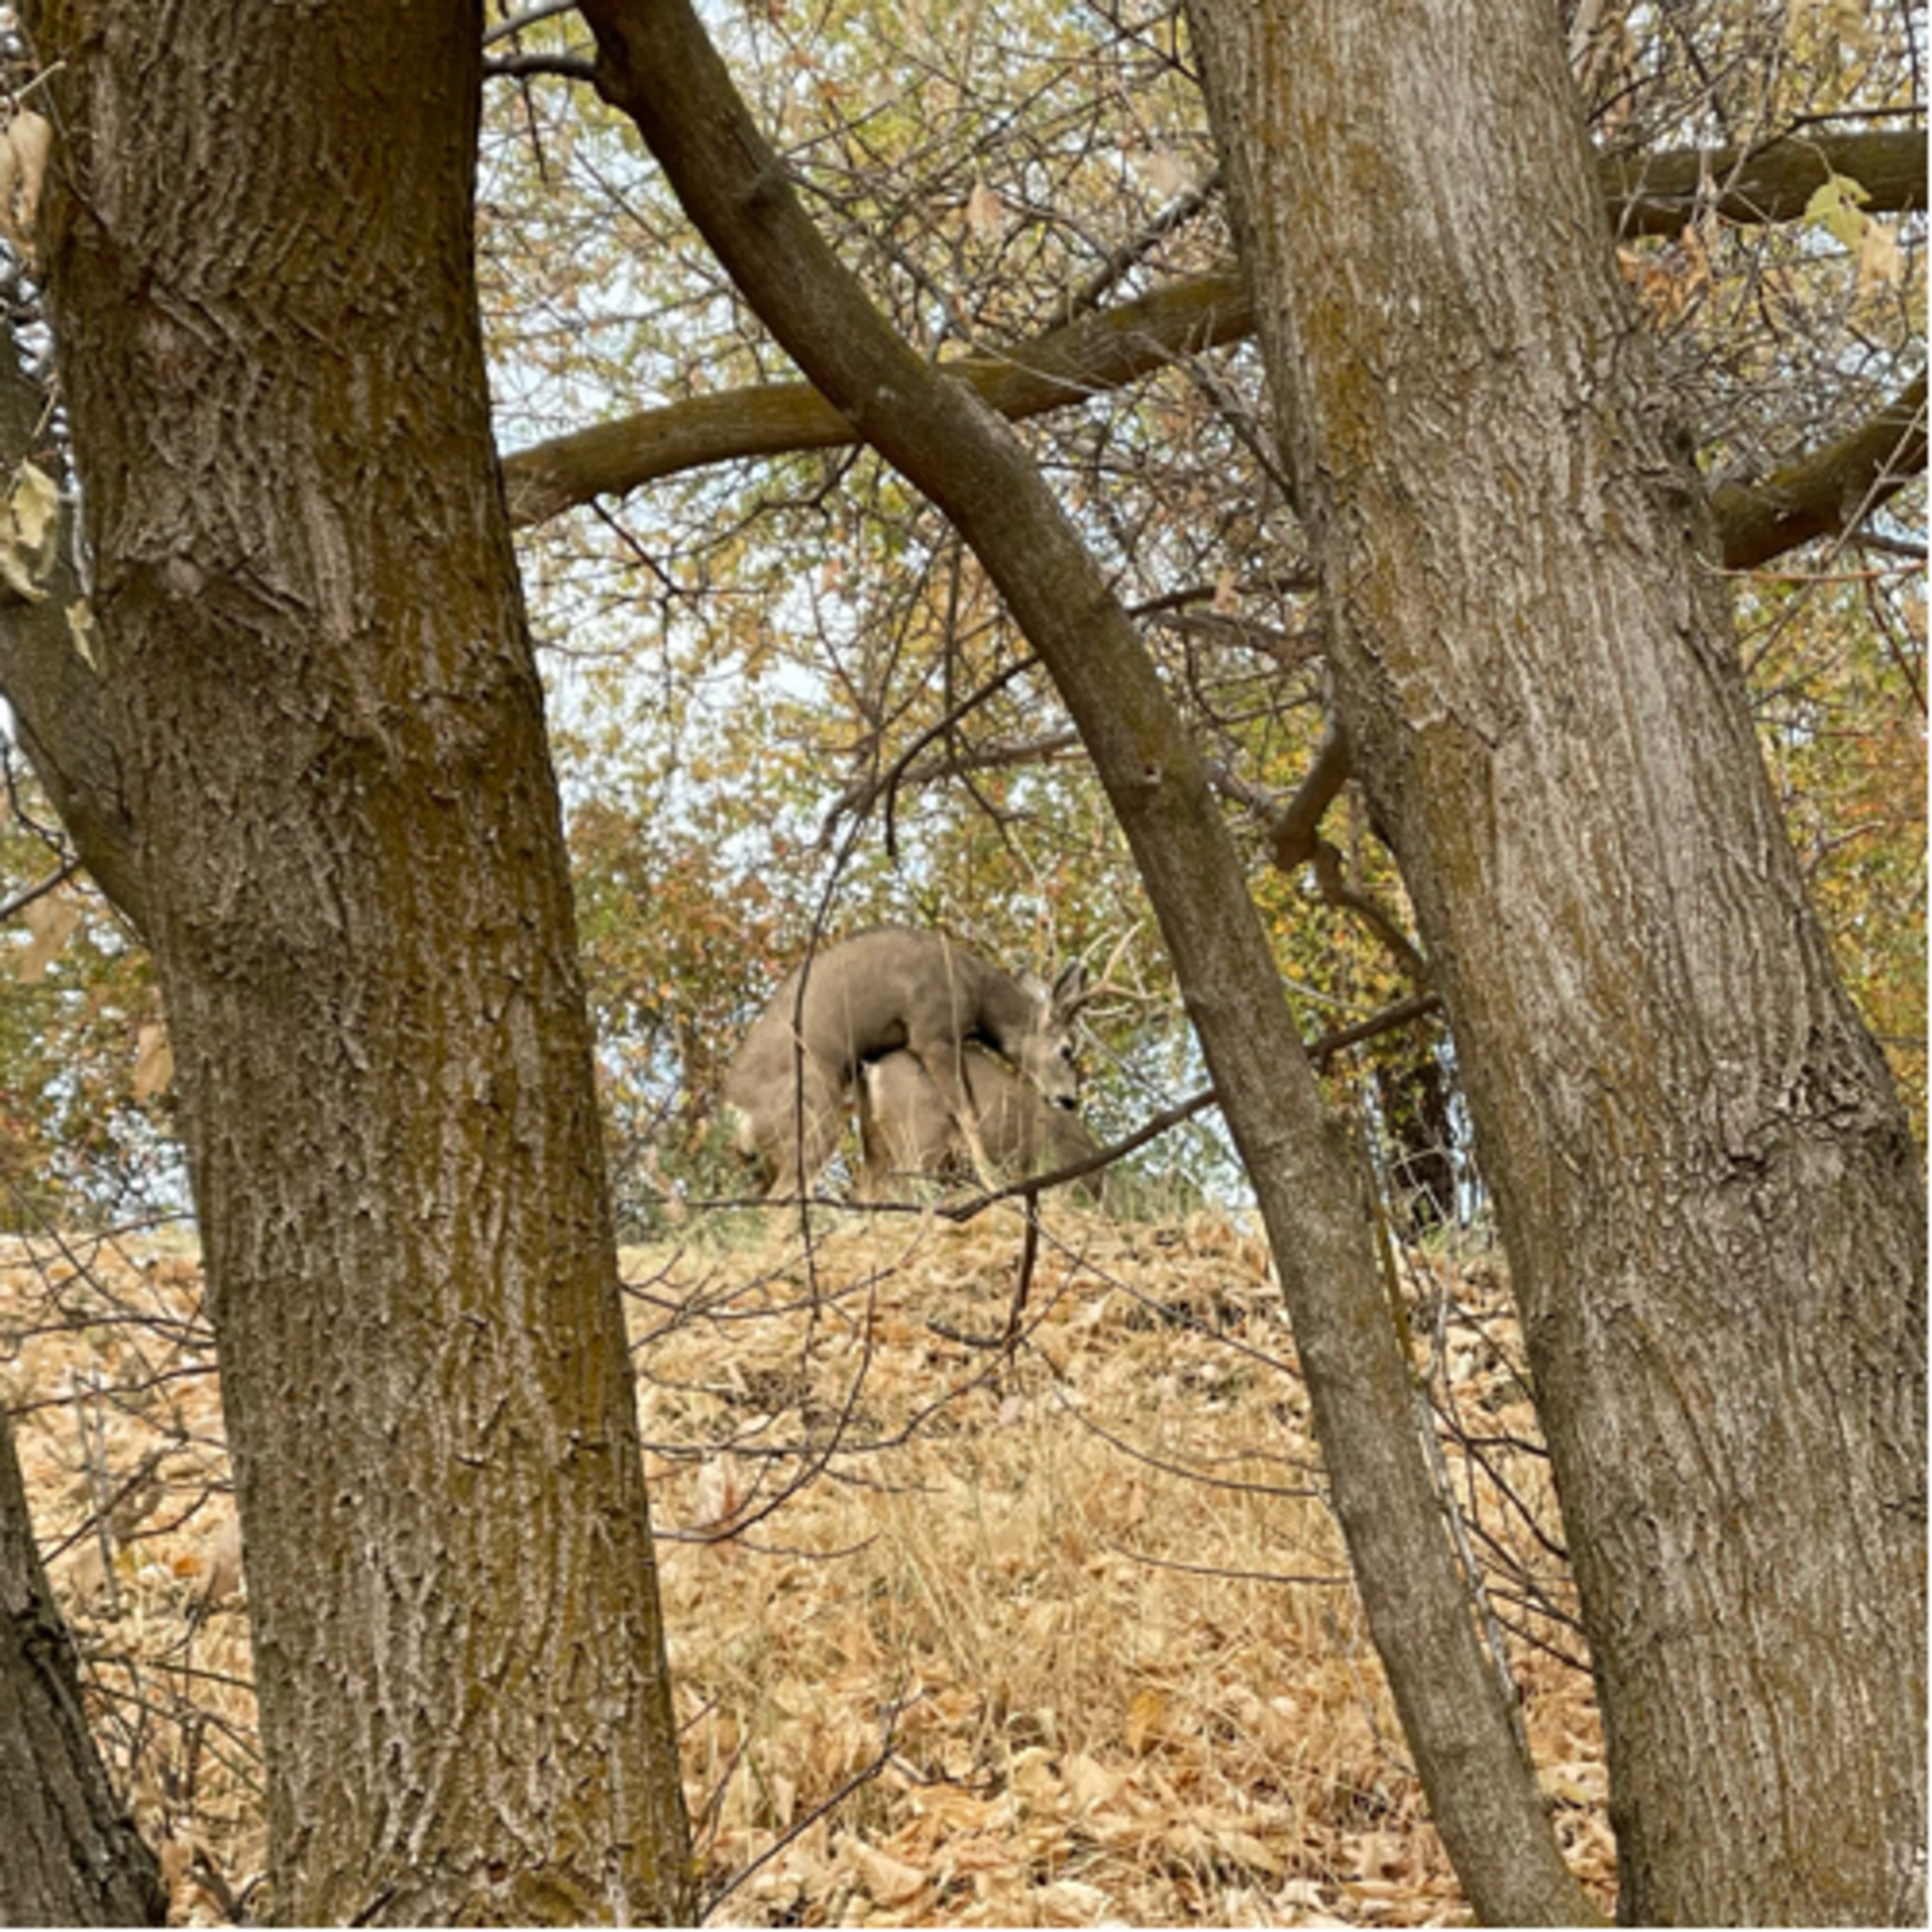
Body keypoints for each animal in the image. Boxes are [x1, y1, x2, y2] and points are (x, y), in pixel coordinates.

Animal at [720, 927, 1085, 1197]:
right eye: (1067, 1049)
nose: (1069, 1099)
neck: (973, 988)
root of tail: (739, 1116)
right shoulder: (931, 1031)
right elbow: (968, 1115)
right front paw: (995, 1183)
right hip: (812, 1120)